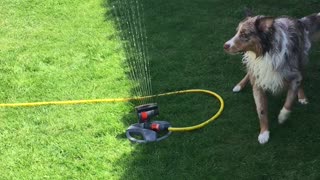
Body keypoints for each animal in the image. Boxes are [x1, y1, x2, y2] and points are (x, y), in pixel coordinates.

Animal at [222, 12, 320, 144]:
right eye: (237, 32)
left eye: (244, 34)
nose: (225, 46)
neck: (265, 54)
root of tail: (298, 20)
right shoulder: (258, 82)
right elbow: (262, 110)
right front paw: (264, 133)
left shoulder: (294, 75)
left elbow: (289, 100)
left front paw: (282, 117)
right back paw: (239, 85)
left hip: (301, 60)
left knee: (301, 79)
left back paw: (302, 96)